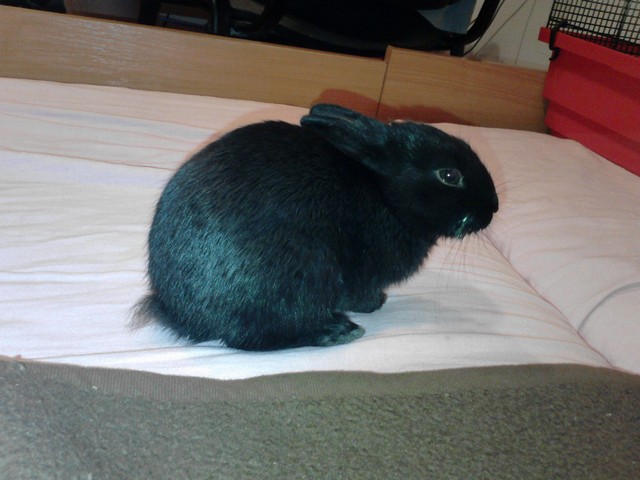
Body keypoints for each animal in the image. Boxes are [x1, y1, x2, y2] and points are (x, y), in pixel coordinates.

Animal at [135, 104, 499, 351]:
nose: (493, 209)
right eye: (450, 175)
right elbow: (362, 295)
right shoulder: (363, 274)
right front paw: (376, 305)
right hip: (302, 274)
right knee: (252, 338)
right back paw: (336, 332)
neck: (385, 196)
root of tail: (182, 314)